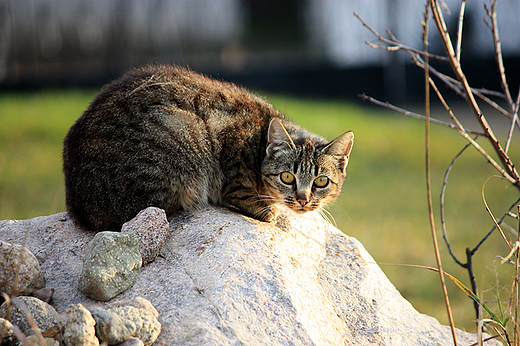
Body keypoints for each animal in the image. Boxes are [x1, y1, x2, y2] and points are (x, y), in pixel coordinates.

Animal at [62, 65, 354, 232]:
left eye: (321, 181)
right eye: (287, 177)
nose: (304, 199)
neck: (258, 142)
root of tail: (77, 203)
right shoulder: (231, 159)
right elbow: (242, 195)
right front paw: (266, 207)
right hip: (183, 131)